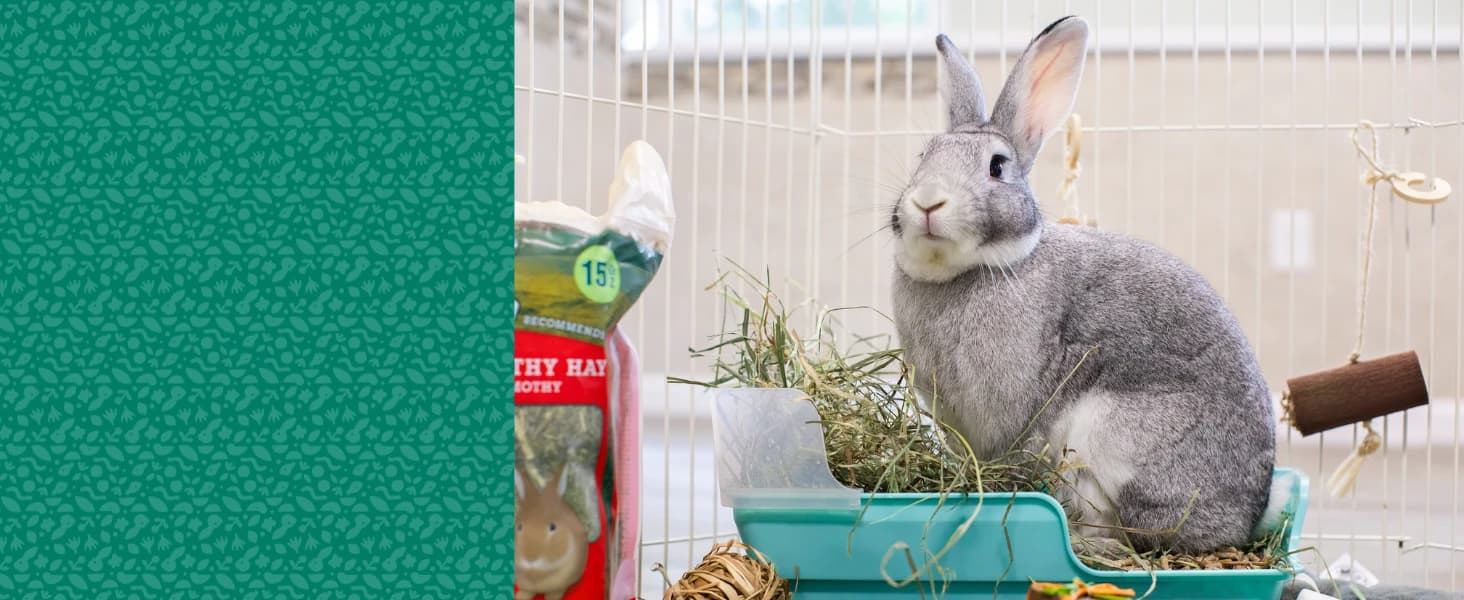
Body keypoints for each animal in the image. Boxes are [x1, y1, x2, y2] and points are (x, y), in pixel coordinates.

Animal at [515, 464, 589, 600]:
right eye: (519, 527)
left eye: (553, 527)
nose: (530, 559)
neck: (537, 571)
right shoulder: (526, 586)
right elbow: (526, 592)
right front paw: (518, 597)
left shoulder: (560, 586)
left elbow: (555, 593)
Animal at [889, 16, 1277, 554]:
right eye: (924, 155)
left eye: (997, 166)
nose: (927, 201)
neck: (968, 271)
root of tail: (1242, 521)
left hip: (1115, 437)